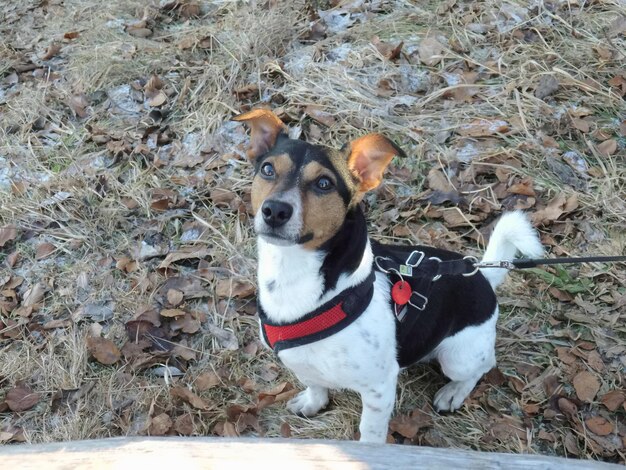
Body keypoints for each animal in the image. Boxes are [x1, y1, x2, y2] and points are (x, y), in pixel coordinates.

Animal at [230, 108, 540, 442]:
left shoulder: (379, 387)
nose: (274, 211)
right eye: (267, 169)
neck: (293, 274)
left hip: (459, 357)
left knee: (482, 366)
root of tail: (480, 276)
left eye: (324, 183)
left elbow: (370, 430)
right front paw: (314, 402)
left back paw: (454, 393)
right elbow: (314, 382)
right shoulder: (300, 360)